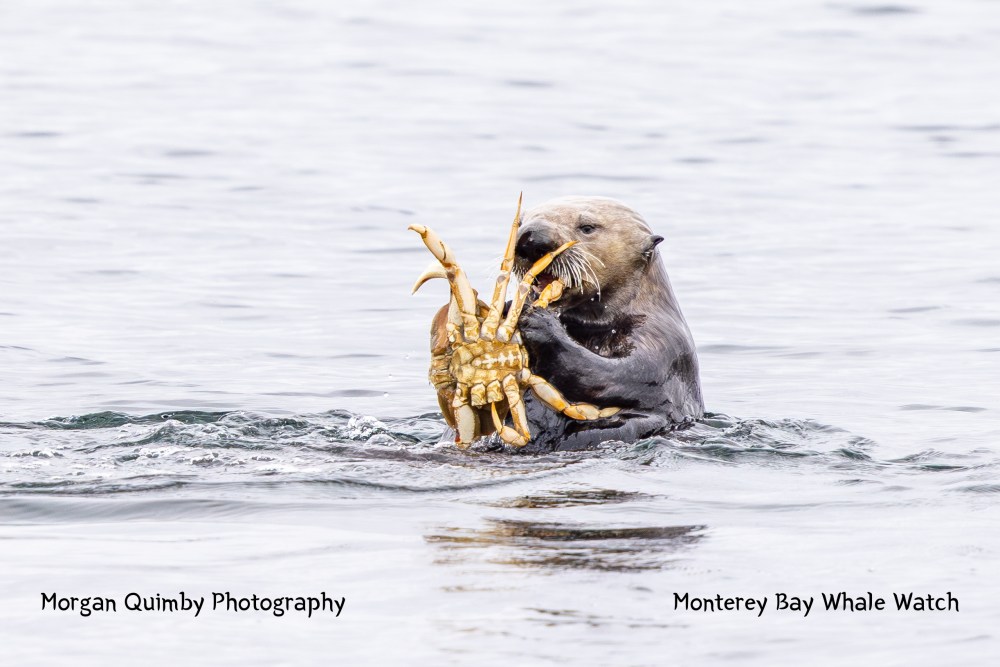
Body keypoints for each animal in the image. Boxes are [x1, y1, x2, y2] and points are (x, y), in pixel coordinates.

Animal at [507, 196, 704, 452]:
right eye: (521, 222)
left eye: (587, 227)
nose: (531, 238)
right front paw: (508, 307)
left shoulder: (664, 342)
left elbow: (621, 374)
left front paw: (539, 320)